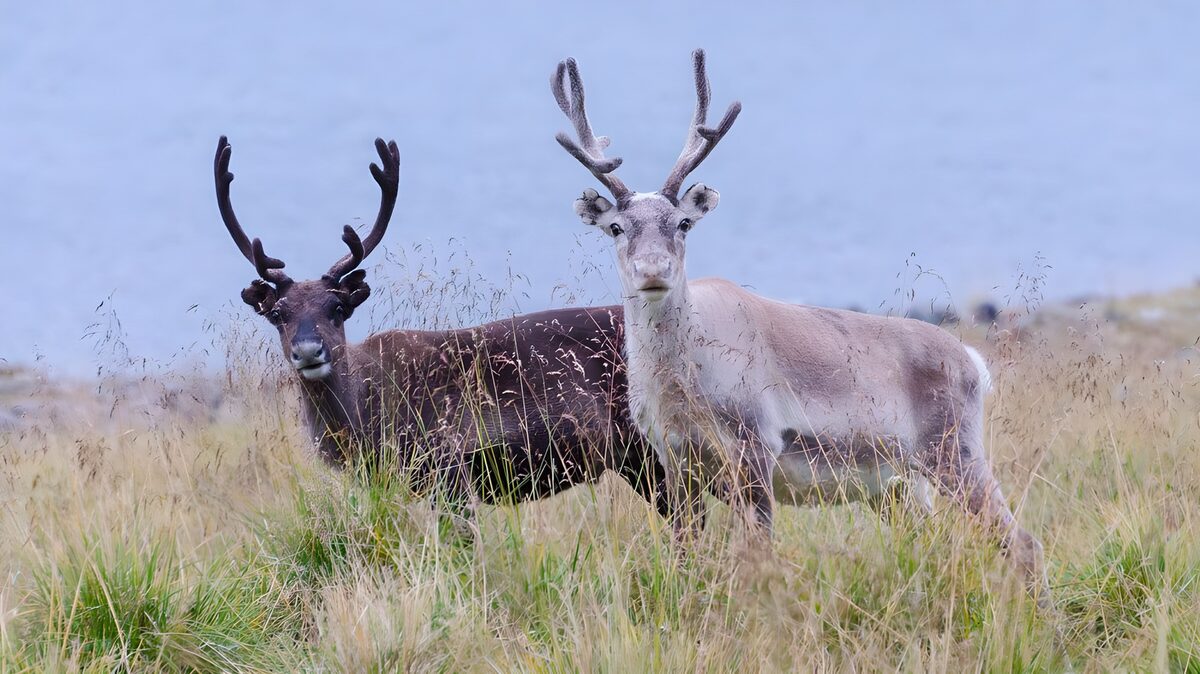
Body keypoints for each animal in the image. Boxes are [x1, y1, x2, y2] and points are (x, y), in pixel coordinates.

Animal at [551, 51, 1050, 604]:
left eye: (682, 223)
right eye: (616, 227)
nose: (653, 269)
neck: (683, 383)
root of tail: (974, 364)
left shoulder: (756, 445)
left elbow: (759, 556)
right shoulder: (673, 458)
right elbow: (684, 554)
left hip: (954, 453)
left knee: (1023, 542)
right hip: (900, 486)